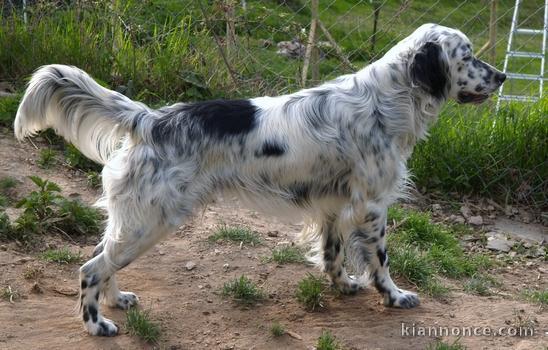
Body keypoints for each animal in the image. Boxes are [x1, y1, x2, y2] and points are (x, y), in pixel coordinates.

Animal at [13, 23, 506, 334]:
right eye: (468, 56)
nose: (502, 76)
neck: (386, 99)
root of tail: (151, 119)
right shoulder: (371, 206)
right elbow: (381, 261)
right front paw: (394, 296)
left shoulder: (333, 203)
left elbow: (333, 254)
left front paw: (344, 286)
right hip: (150, 221)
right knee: (90, 268)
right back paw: (96, 324)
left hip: (134, 220)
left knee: (103, 258)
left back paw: (117, 299)